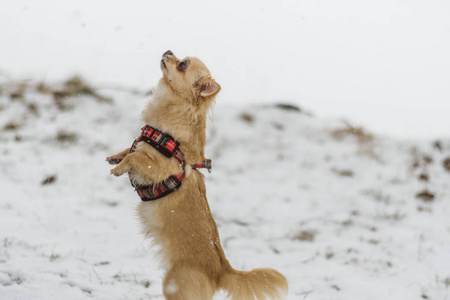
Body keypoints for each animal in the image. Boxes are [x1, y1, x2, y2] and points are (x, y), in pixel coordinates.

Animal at [107, 50, 286, 298]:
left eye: (182, 64)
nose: (168, 51)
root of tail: (222, 270)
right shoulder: (139, 147)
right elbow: (130, 149)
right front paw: (115, 157)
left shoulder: (158, 168)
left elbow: (136, 158)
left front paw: (118, 168)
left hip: (173, 284)